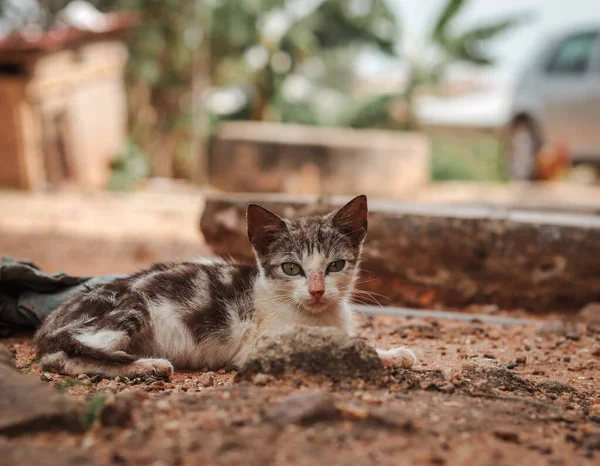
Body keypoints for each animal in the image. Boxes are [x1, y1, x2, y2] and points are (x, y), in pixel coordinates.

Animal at [35, 195, 414, 380]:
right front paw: (381, 354)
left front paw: (392, 353)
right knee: (75, 351)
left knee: (63, 360)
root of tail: (46, 328)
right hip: (132, 306)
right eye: (291, 268)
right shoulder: (258, 346)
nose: (317, 291)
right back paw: (146, 366)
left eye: (335, 265)